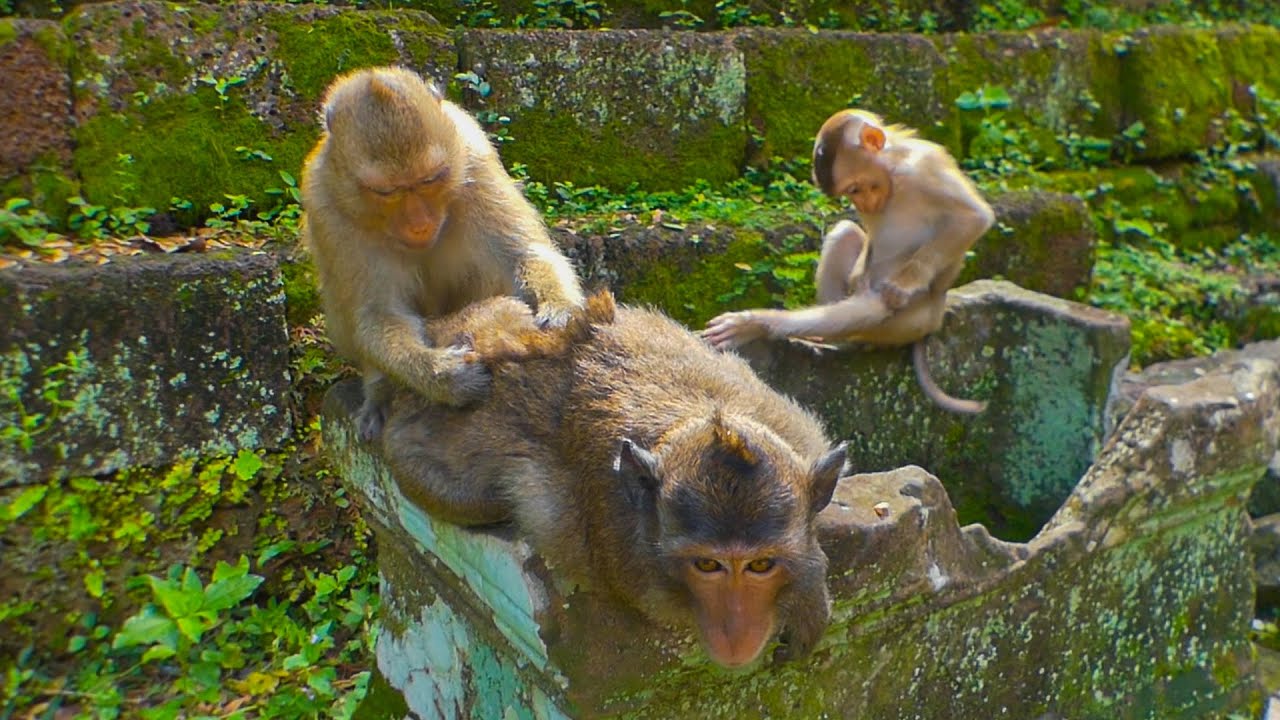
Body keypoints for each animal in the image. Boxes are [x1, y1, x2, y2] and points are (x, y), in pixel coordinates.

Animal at [300, 66, 585, 440]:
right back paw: (379, 391)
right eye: (386, 192)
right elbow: (379, 315)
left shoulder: (476, 159)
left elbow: (524, 253)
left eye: (430, 179)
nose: (419, 224)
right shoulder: (324, 205)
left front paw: (561, 308)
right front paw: (442, 376)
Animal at [703, 109, 995, 414]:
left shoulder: (925, 168)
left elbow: (974, 217)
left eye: (856, 188)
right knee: (844, 232)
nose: (863, 204)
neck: (895, 169)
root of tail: (934, 319)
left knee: (873, 310)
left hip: (908, 323)